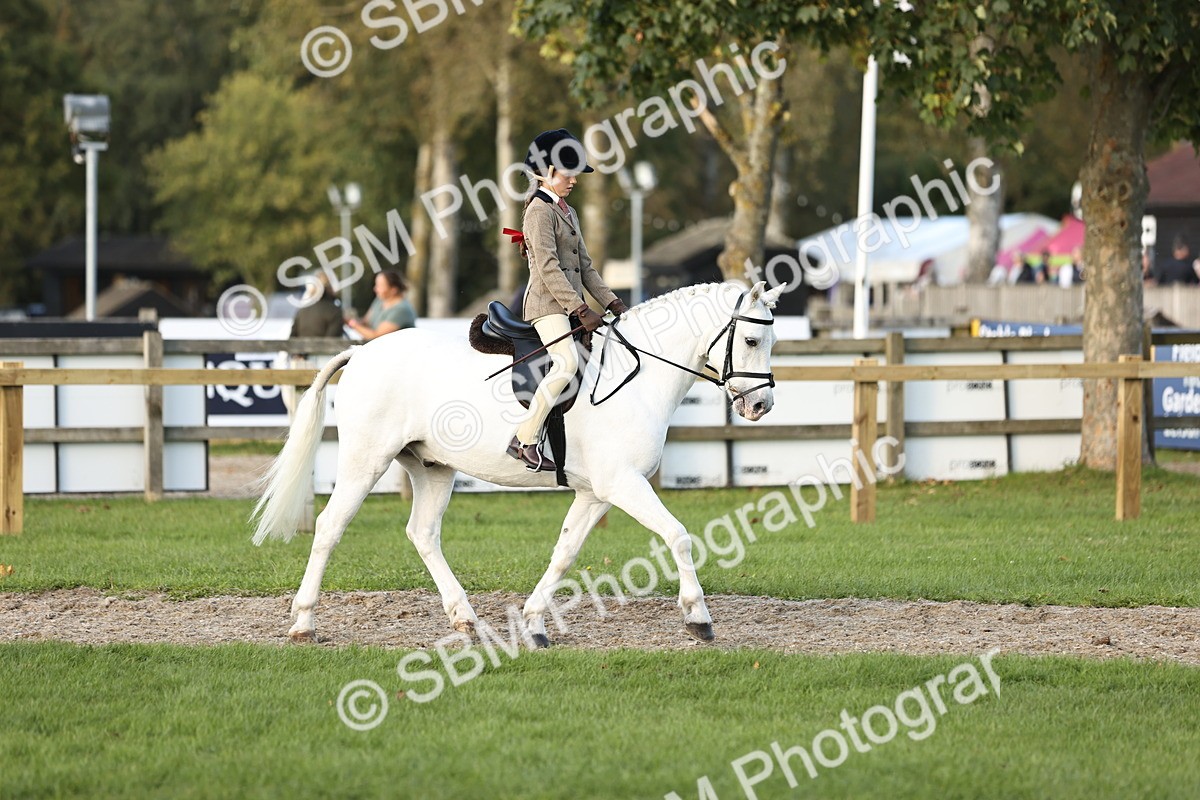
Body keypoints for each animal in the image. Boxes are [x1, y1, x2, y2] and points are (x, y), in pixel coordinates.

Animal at [252, 280, 785, 646]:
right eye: (752, 341)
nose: (761, 406)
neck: (638, 375)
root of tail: (361, 353)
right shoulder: (624, 484)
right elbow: (678, 535)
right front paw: (698, 618)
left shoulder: (596, 492)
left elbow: (564, 553)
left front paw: (533, 623)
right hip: (366, 461)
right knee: (329, 527)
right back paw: (304, 623)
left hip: (432, 468)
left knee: (423, 533)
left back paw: (464, 618)